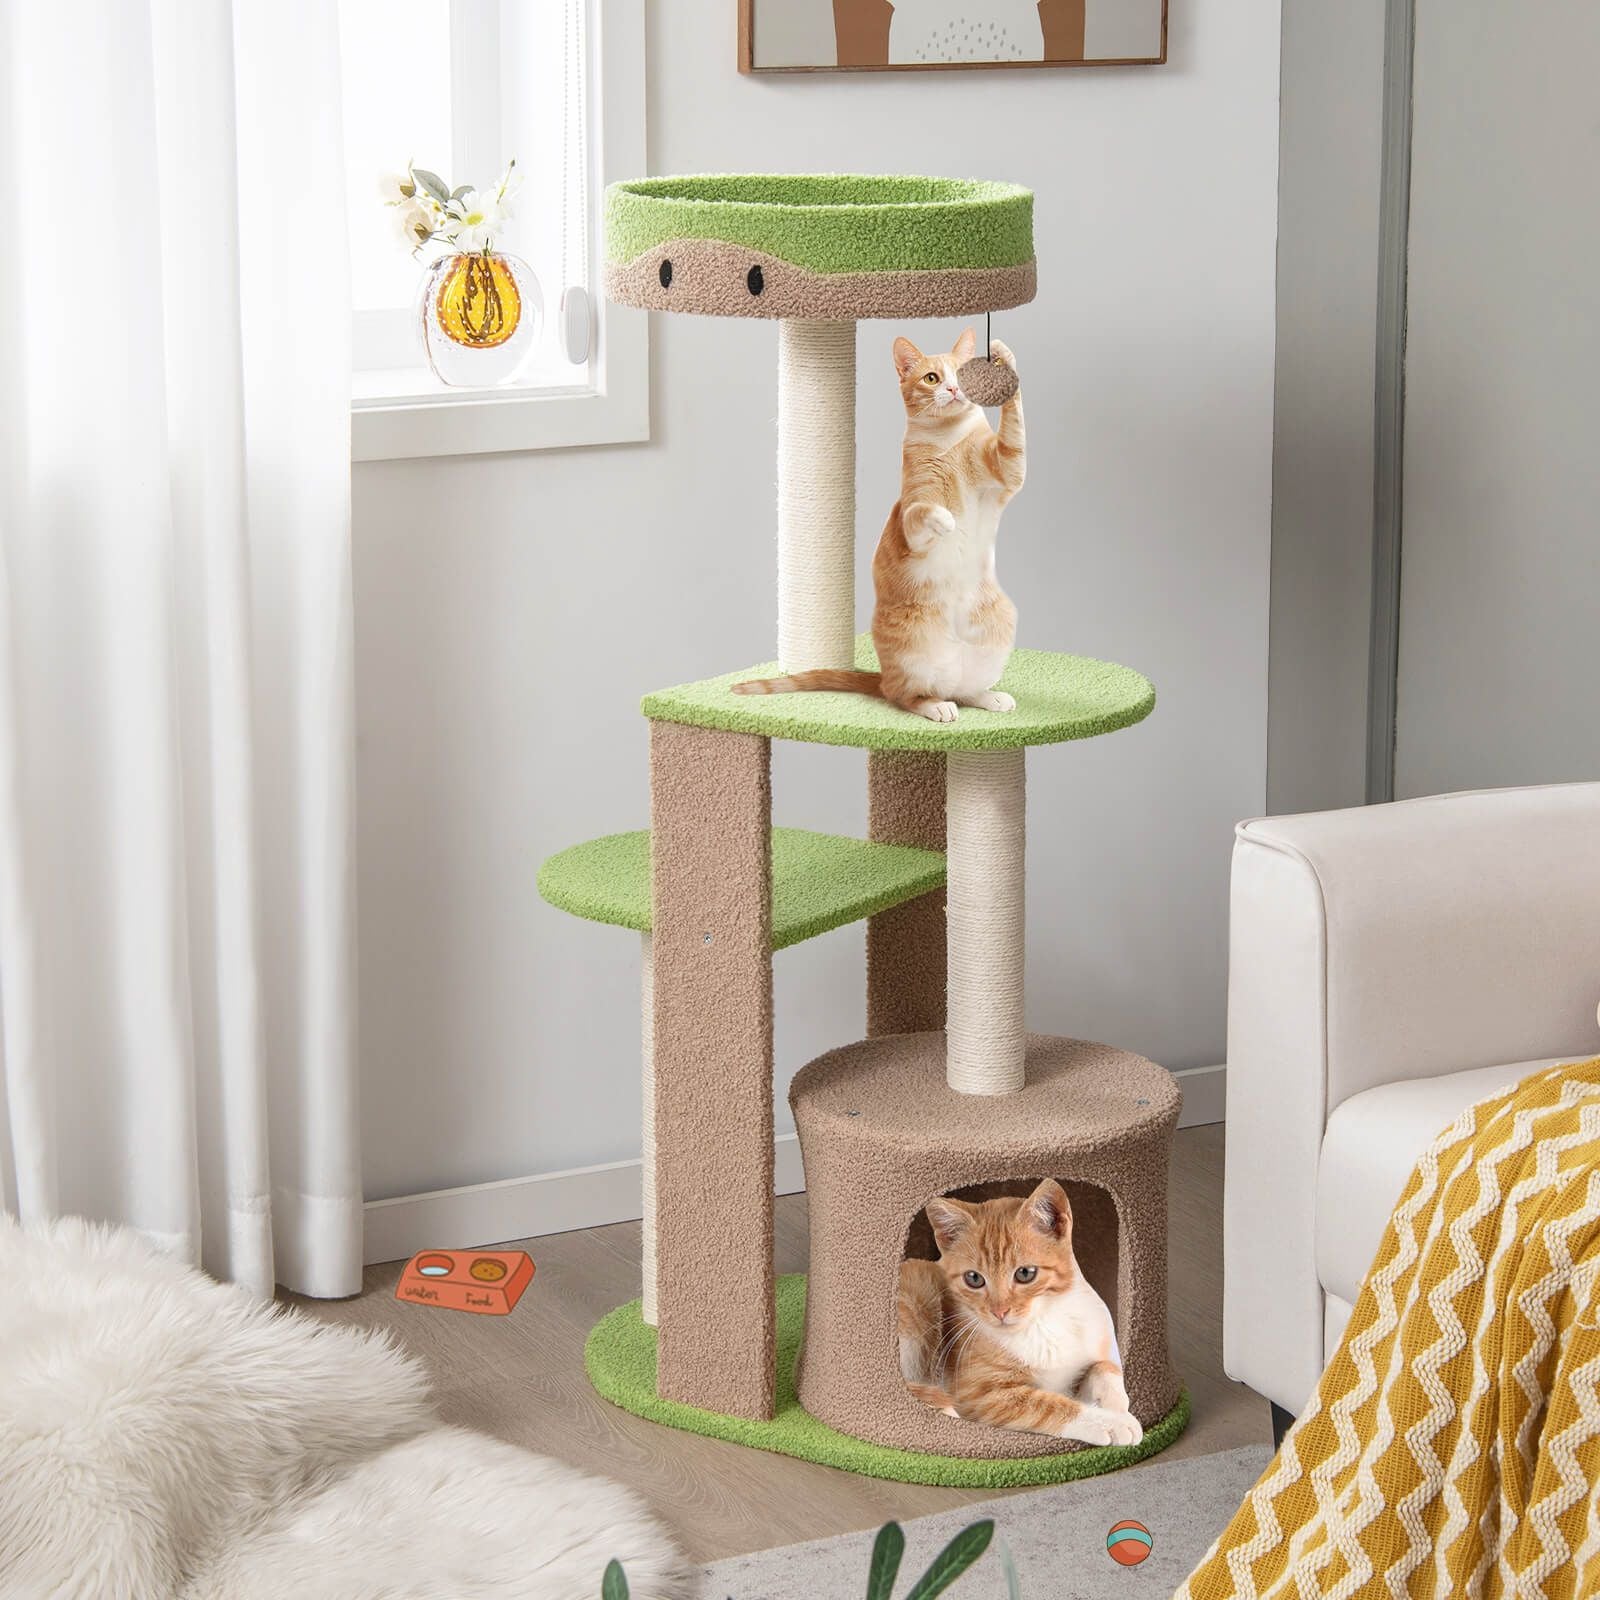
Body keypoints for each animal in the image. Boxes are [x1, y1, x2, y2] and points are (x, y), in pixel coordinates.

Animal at [736, 328, 1024, 723]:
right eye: (931, 378)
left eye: (959, 375)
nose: (952, 389)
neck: (948, 442)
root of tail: (883, 676)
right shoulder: (912, 524)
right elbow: (920, 511)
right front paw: (944, 517)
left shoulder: (1007, 469)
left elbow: (1014, 427)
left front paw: (1004, 355)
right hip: (914, 649)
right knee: (906, 695)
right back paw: (935, 705)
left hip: (997, 627)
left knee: (962, 690)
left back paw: (988, 697)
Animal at [902, 1177, 1139, 1452]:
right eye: (974, 1278)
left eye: (1025, 1273)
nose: (999, 1311)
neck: (1042, 1323)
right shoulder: (980, 1395)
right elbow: (1049, 1404)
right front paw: (1111, 1422)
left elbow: (1104, 1367)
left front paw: (1116, 1403)